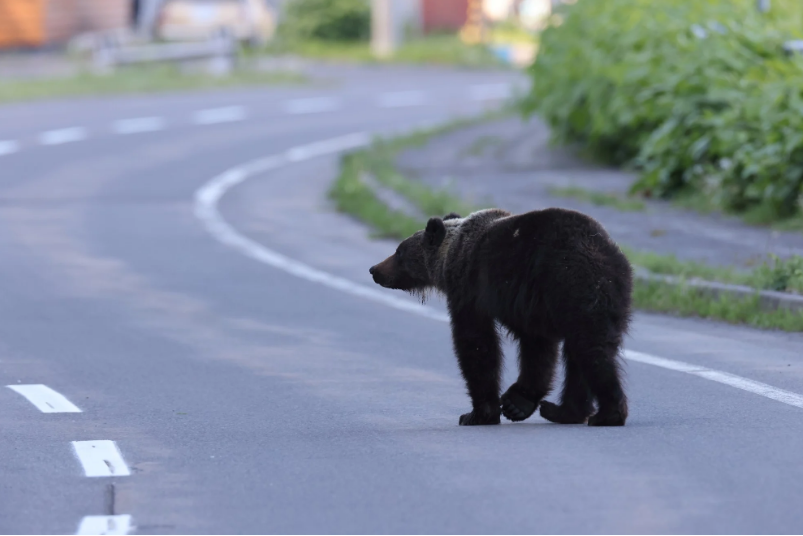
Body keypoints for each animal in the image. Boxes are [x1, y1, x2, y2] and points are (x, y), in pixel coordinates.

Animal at [370, 208, 636, 428]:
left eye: (399, 252)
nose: (374, 270)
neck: (449, 256)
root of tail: (607, 254)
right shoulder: (529, 306)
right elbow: (537, 348)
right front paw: (517, 403)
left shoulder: (472, 288)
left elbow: (476, 342)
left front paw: (479, 413)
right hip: (604, 296)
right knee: (580, 352)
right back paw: (563, 411)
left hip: (573, 284)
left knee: (590, 349)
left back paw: (607, 414)